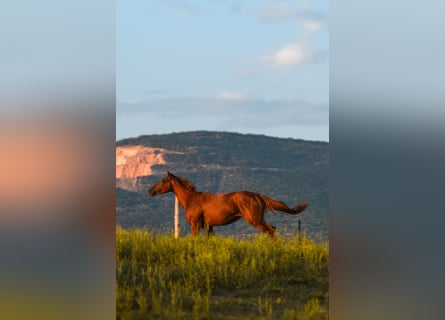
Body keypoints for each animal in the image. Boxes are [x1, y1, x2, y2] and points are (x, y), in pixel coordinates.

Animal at [147, 172, 306, 238]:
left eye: (163, 180)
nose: (150, 191)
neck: (192, 199)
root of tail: (258, 195)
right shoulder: (208, 226)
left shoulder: (195, 224)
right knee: (272, 229)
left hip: (254, 220)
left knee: (270, 230)